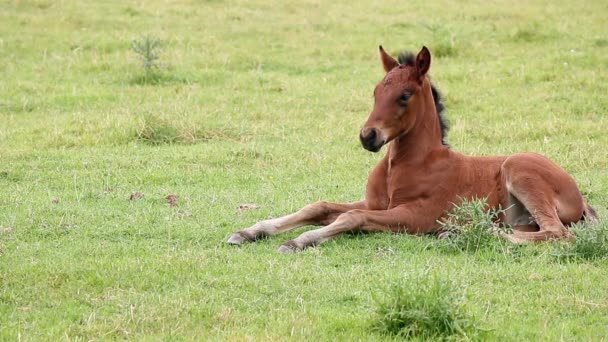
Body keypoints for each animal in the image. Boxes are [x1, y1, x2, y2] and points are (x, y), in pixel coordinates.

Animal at [226, 46, 596, 252]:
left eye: (404, 95)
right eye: (376, 90)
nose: (368, 136)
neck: (403, 165)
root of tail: (580, 198)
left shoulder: (416, 214)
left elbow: (351, 217)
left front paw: (299, 241)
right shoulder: (378, 203)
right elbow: (320, 206)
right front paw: (249, 231)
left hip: (520, 171)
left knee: (557, 233)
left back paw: (469, 231)